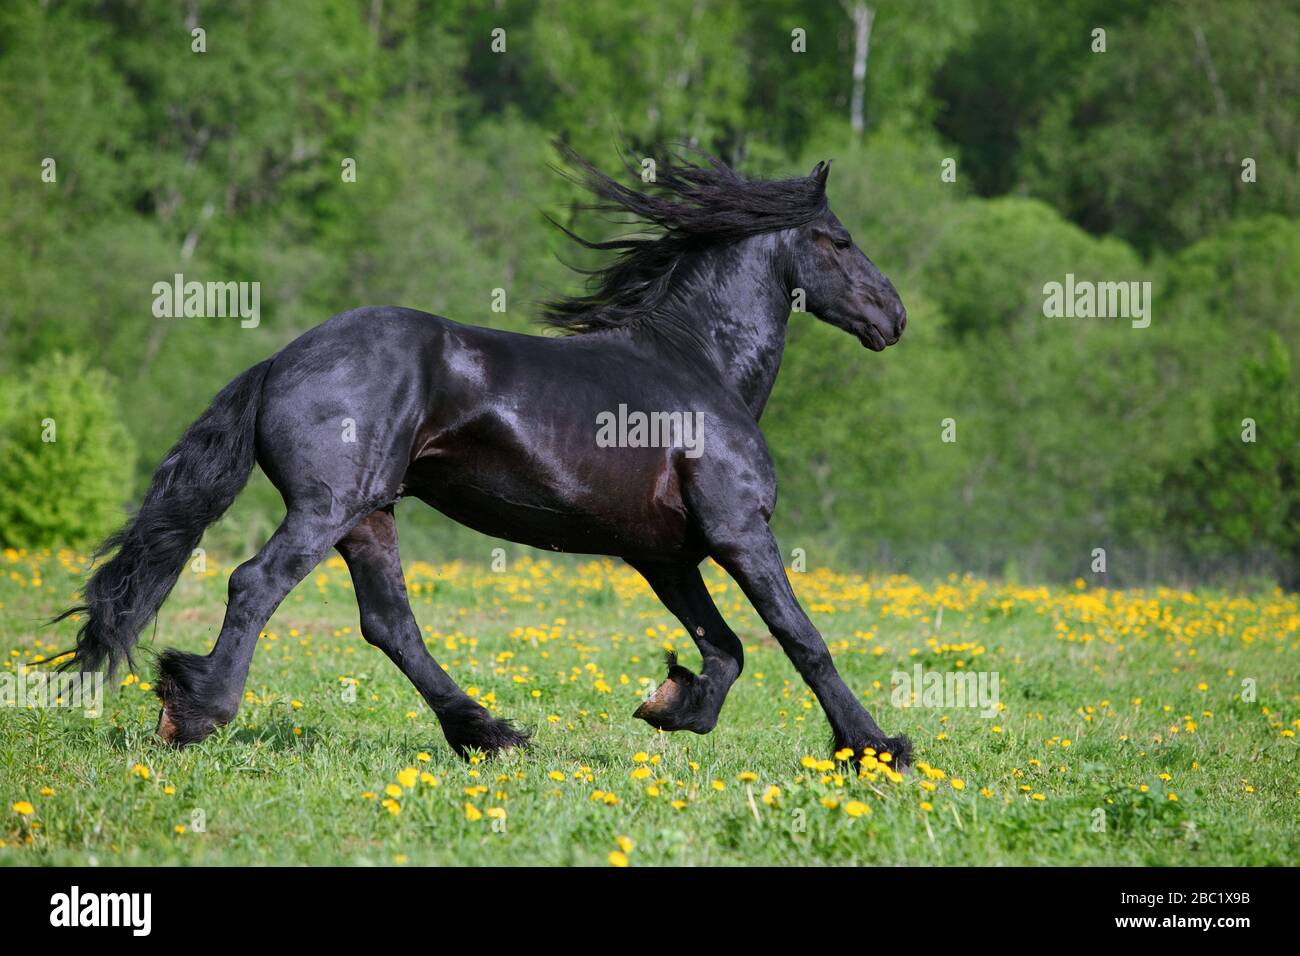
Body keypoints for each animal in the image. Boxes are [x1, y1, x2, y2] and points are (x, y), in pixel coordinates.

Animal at [57, 145, 911, 765]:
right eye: (838, 241)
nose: (894, 317)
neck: (698, 366)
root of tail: (280, 362)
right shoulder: (740, 532)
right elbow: (802, 641)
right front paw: (875, 748)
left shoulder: (665, 556)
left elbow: (726, 651)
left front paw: (668, 705)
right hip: (328, 510)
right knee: (257, 584)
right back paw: (195, 712)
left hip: (369, 518)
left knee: (390, 625)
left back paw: (489, 733)